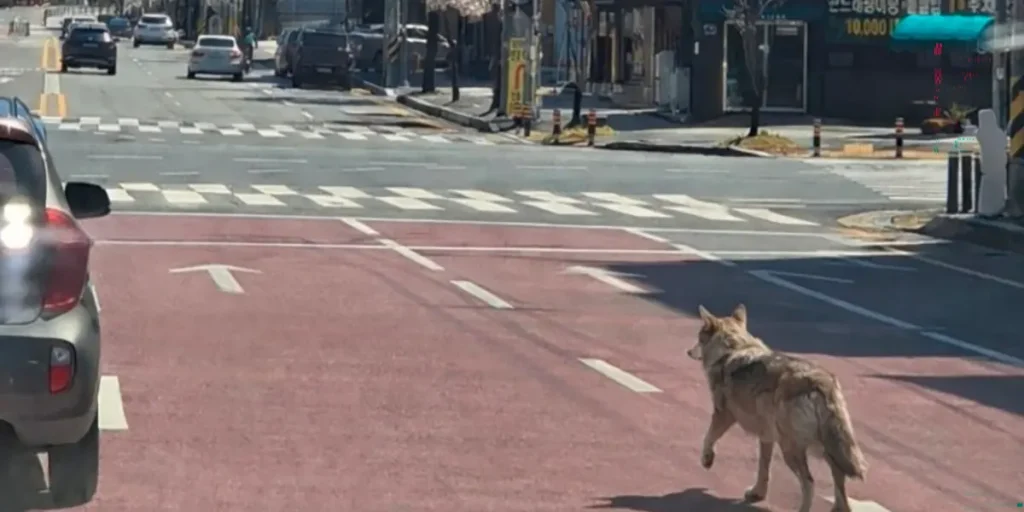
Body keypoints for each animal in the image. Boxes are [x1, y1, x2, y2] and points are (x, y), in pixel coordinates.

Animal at [686, 304, 867, 512]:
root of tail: (821, 382)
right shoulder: (766, 437)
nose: (688, 352)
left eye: (699, 338)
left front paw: (707, 460)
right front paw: (757, 493)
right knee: (839, 479)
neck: (732, 350)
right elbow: (763, 468)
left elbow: (708, 438)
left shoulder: (723, 415)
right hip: (823, 448)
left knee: (809, 482)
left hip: (792, 449)